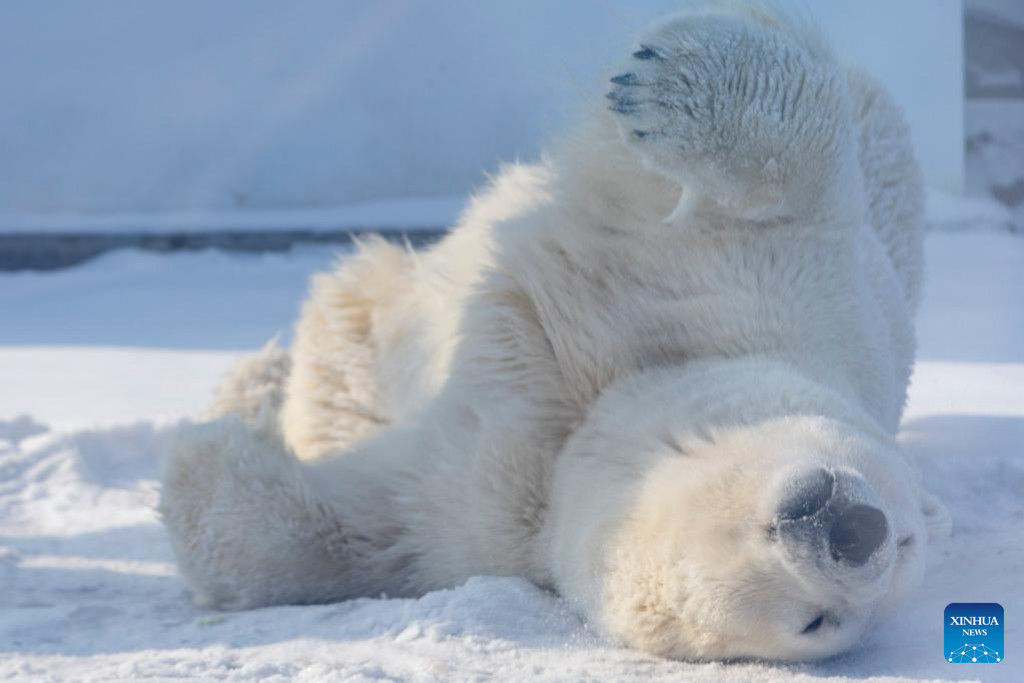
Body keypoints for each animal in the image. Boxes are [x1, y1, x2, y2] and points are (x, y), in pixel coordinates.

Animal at [159, 0, 950, 663]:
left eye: (819, 622)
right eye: (904, 531)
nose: (858, 531)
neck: (599, 421)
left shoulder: (470, 524)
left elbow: (341, 535)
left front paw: (208, 451)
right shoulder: (780, 298)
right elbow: (791, 175)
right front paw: (657, 82)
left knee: (340, 365)